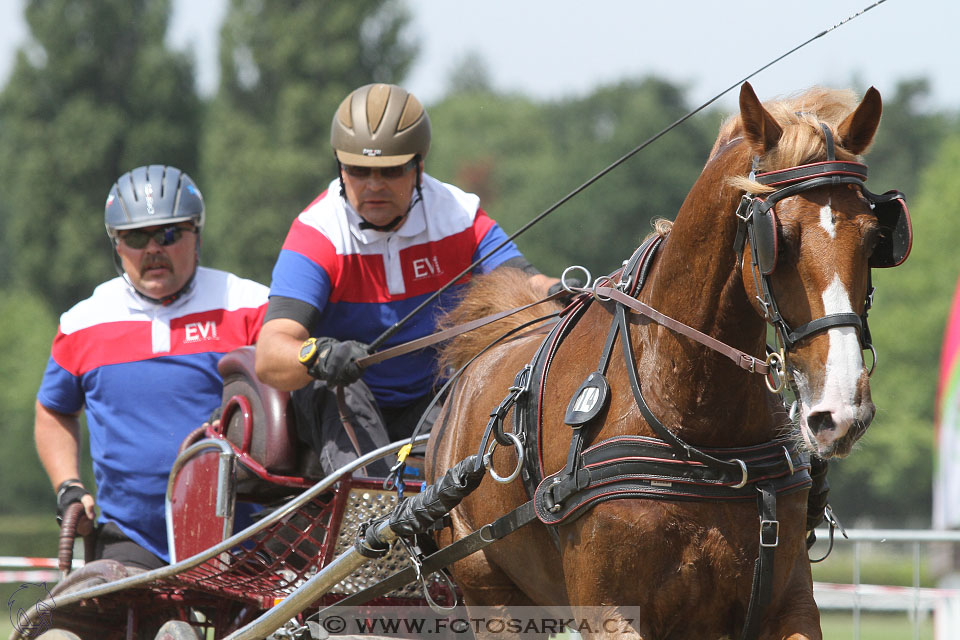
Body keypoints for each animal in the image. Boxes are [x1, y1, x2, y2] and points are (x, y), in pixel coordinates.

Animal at [426, 82, 908, 636]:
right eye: (778, 240)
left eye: (876, 238)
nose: (841, 411)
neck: (695, 424)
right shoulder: (610, 611)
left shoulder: (788, 604)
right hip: (491, 597)